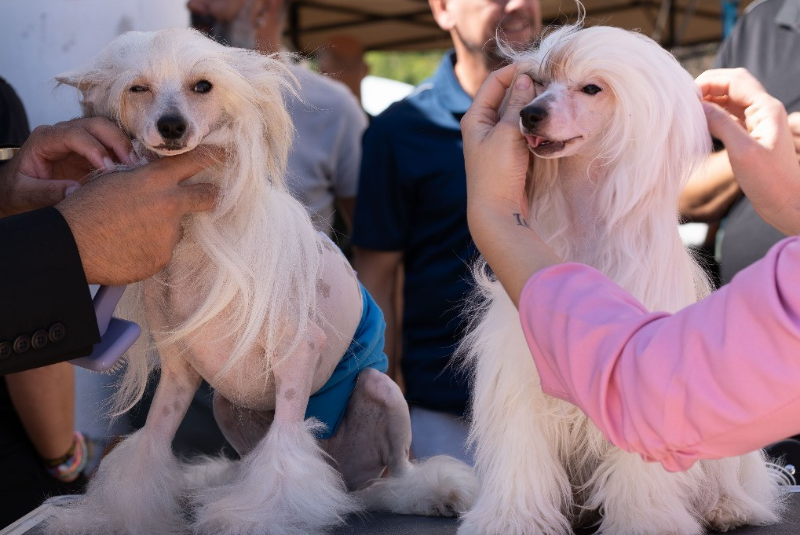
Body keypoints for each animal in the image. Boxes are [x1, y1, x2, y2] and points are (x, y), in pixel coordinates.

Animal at [48, 28, 476, 535]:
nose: (172, 126)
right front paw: (119, 515)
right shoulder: (178, 373)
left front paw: (263, 517)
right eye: (138, 88)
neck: (195, 237)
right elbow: (150, 443)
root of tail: (345, 480)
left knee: (397, 473)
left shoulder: (298, 352)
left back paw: (429, 494)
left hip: (382, 391)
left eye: (203, 86)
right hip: (225, 406)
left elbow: (286, 453)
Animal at [460, 22, 784, 535]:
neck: (585, 226)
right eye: (538, 83)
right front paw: (513, 519)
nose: (529, 114)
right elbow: (522, 450)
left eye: (592, 88)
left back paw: (726, 506)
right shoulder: (521, 372)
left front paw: (646, 520)